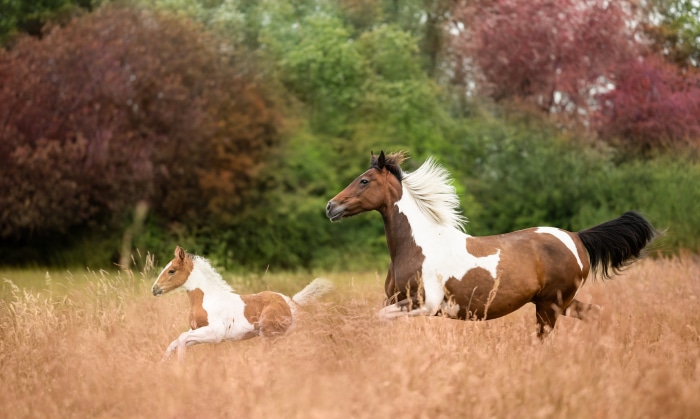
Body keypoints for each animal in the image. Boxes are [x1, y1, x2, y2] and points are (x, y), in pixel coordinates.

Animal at [152, 246, 333, 360]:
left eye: (171, 271)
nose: (154, 289)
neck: (207, 298)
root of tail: (290, 302)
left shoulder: (215, 333)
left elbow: (182, 339)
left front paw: (180, 365)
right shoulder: (198, 330)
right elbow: (175, 342)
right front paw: (163, 364)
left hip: (269, 335)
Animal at [325, 151, 657, 337]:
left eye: (364, 181)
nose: (330, 207)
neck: (417, 245)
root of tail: (576, 237)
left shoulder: (425, 304)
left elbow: (380, 319)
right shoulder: (393, 300)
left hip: (550, 305)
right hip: (557, 302)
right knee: (595, 314)